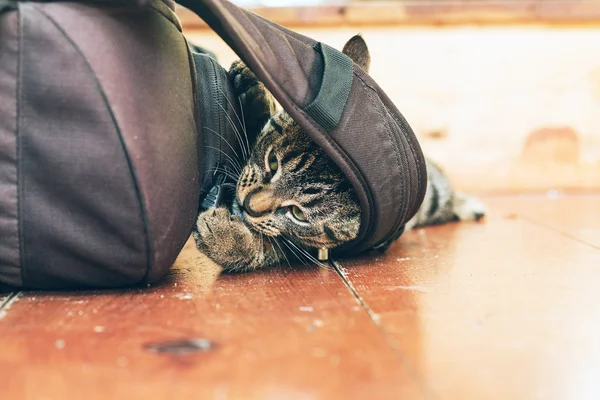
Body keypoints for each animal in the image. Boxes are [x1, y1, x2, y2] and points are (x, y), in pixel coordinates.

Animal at [195, 35, 486, 272]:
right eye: (273, 162)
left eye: (298, 214)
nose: (247, 205)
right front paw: (253, 90)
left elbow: (279, 248)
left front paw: (228, 240)